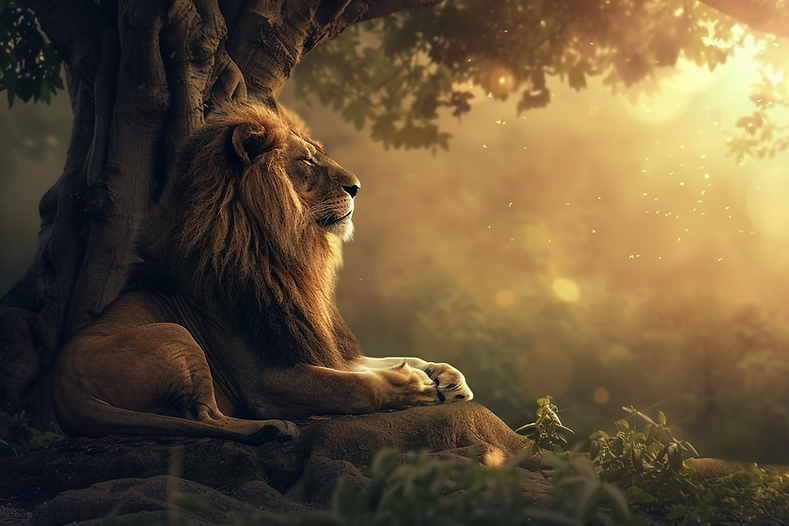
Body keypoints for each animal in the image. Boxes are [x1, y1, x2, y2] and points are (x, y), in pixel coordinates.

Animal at [51, 103, 473, 445]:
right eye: (307, 161)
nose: (356, 187)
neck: (284, 257)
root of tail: (63, 392)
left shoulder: (310, 343)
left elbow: (378, 361)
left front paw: (446, 375)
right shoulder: (265, 380)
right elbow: (359, 387)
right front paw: (417, 384)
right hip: (175, 335)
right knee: (204, 417)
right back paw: (272, 428)